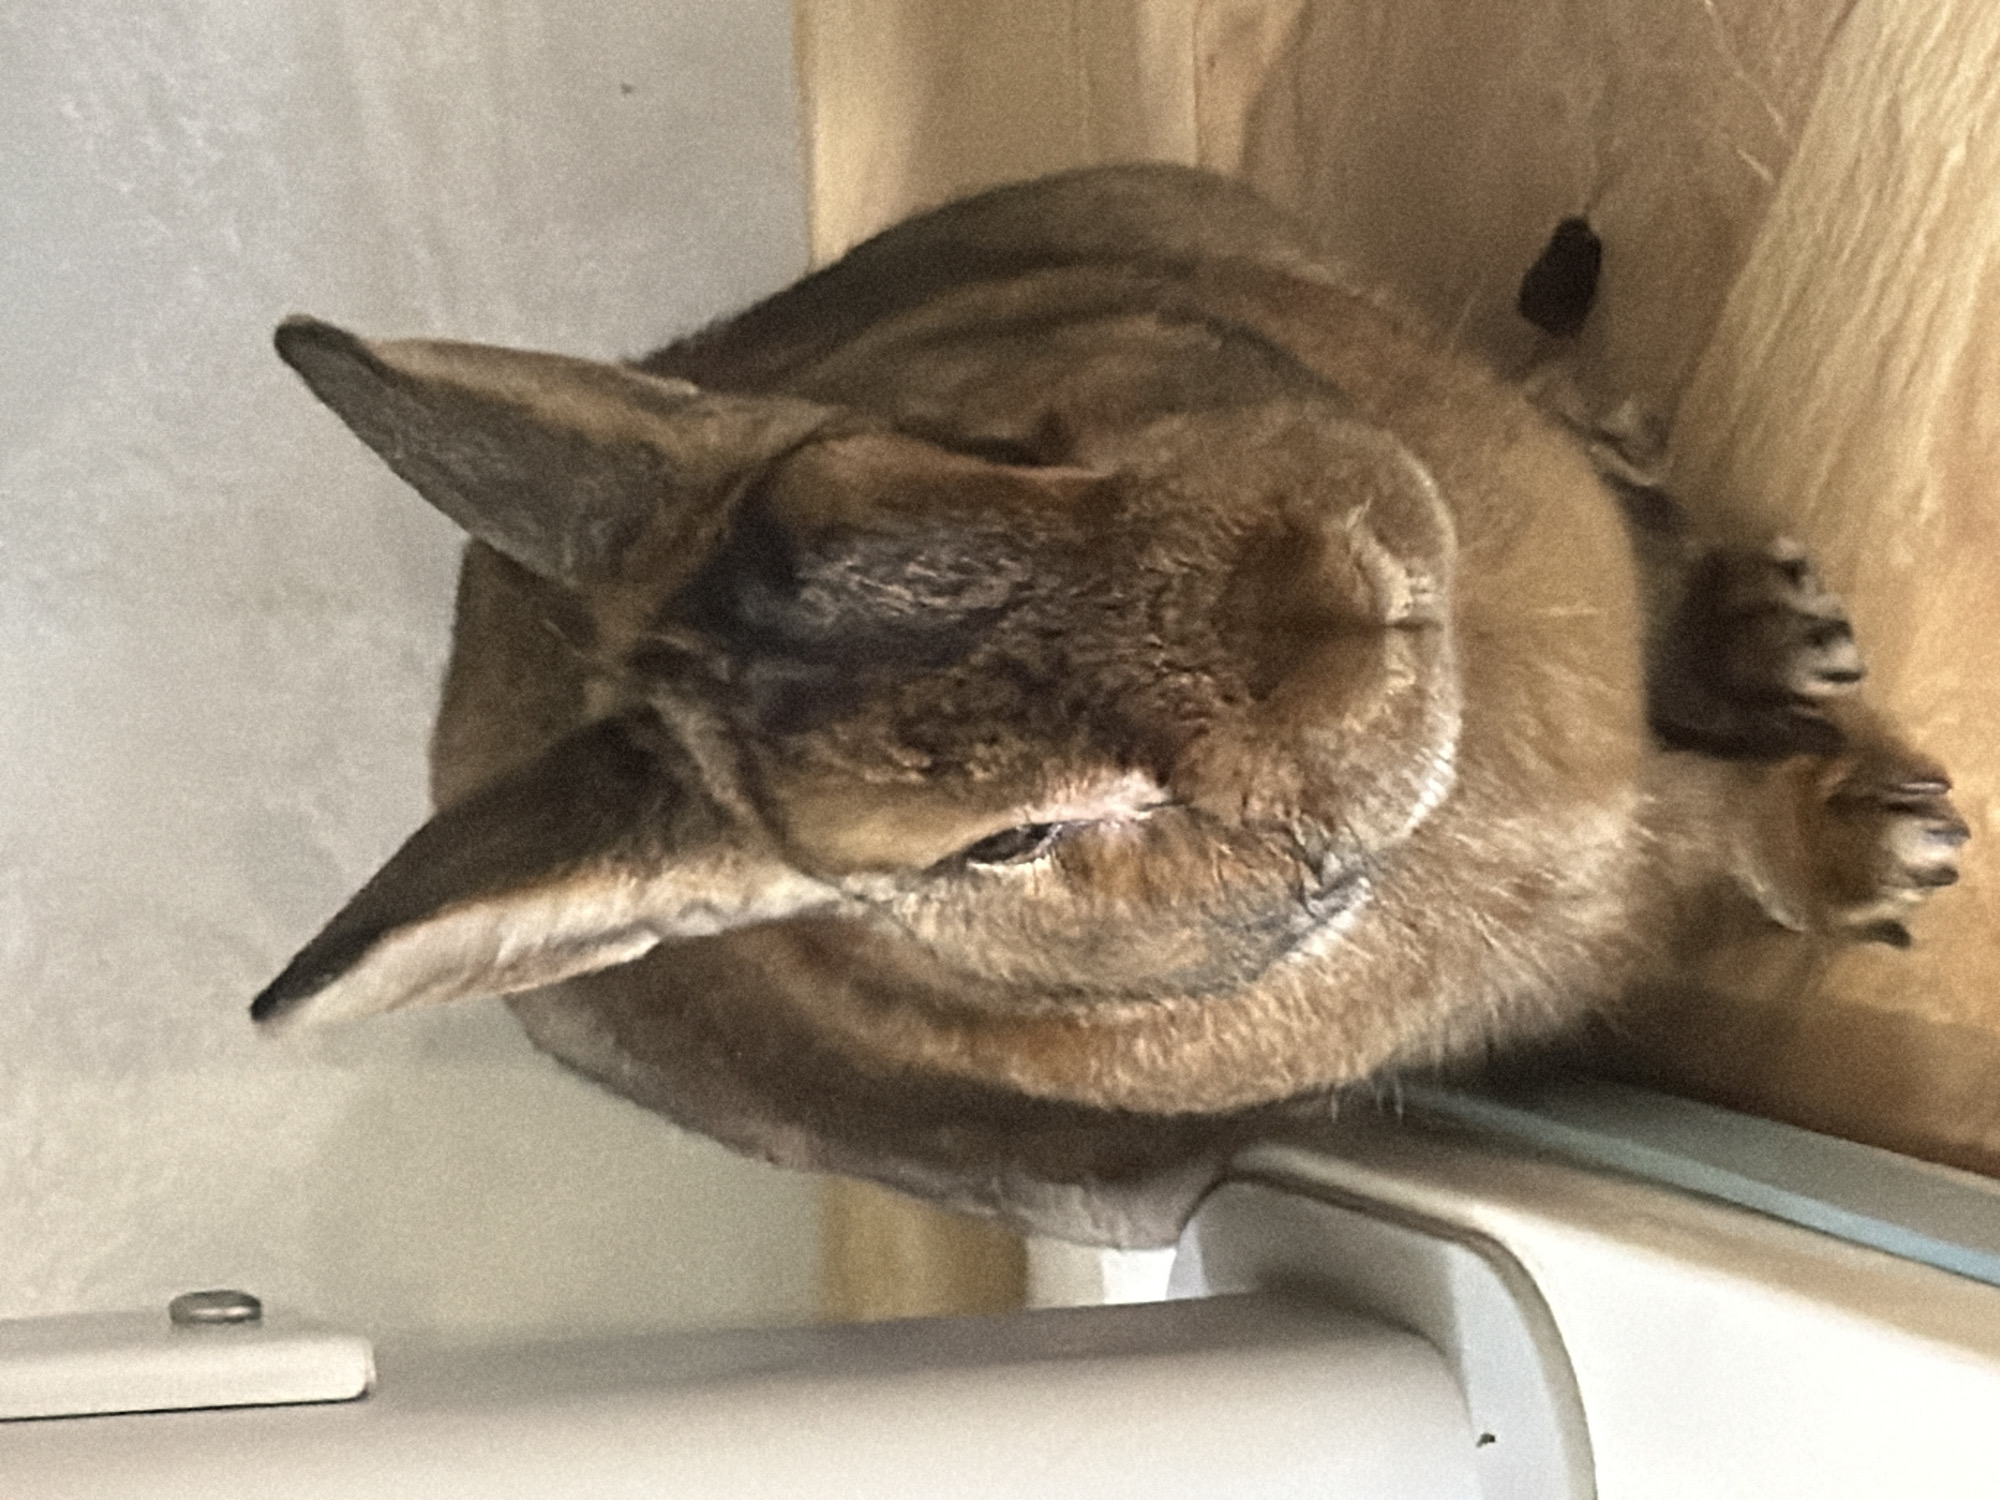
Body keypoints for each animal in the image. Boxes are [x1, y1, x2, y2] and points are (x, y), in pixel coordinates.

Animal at [252, 165, 1964, 1245]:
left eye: (977, 443)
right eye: (1004, 847)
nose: (1336, 610)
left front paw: (1778, 654)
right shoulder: (1621, 882)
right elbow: (1721, 837)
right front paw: (1890, 849)